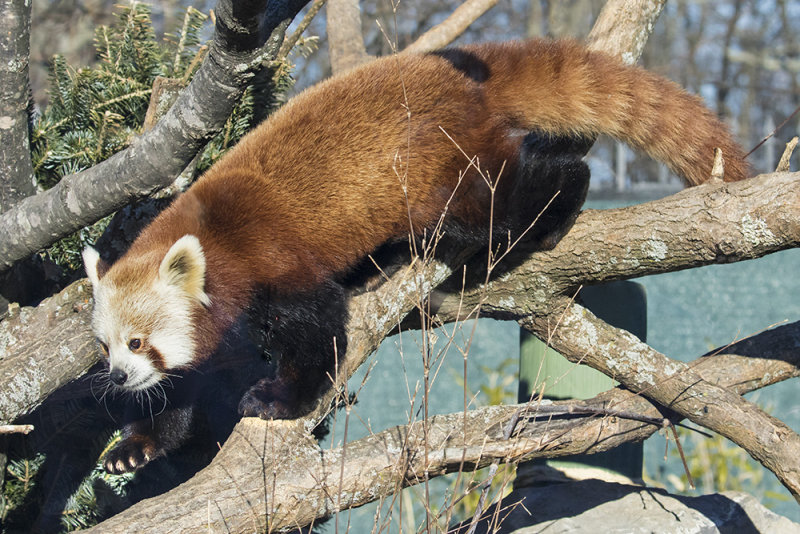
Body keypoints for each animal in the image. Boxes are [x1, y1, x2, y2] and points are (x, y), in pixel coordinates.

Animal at [83, 39, 752, 476]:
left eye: (138, 341)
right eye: (106, 346)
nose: (117, 377)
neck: (212, 236)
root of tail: (468, 86)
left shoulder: (273, 262)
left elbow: (316, 333)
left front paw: (278, 399)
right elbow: (189, 387)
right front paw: (136, 445)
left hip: (451, 172)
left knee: (514, 194)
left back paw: (548, 212)